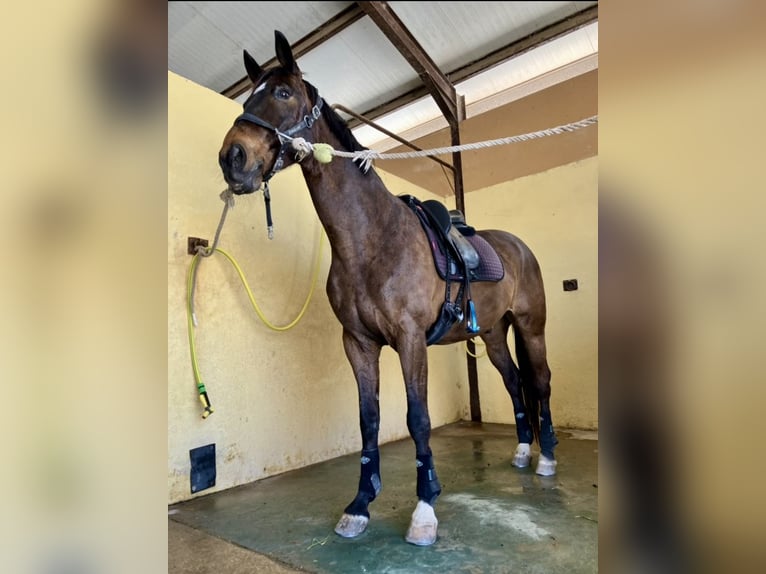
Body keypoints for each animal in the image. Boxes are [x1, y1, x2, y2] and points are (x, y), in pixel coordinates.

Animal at [218, 30, 558, 546]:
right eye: (245, 98)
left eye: (283, 93)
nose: (231, 158)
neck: (372, 239)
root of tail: (518, 246)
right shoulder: (358, 343)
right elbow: (369, 419)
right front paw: (360, 505)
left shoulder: (409, 338)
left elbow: (417, 418)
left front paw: (425, 508)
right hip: (494, 334)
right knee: (515, 380)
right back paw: (522, 450)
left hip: (531, 327)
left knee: (540, 380)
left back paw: (548, 458)